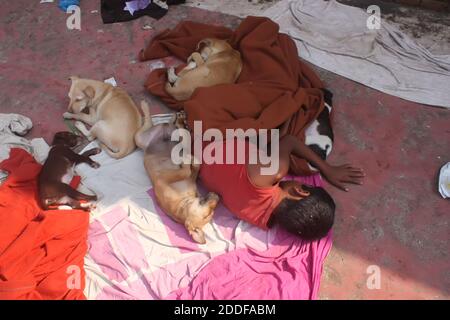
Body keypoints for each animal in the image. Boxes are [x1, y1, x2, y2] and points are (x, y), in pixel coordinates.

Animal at [135, 102, 220, 245]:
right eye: (208, 214)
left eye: (212, 214)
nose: (218, 196)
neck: (183, 203)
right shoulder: (164, 179)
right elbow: (187, 170)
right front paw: (187, 159)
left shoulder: (190, 178)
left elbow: (193, 167)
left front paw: (188, 159)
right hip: (139, 139)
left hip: (144, 137)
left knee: (162, 125)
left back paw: (177, 119)